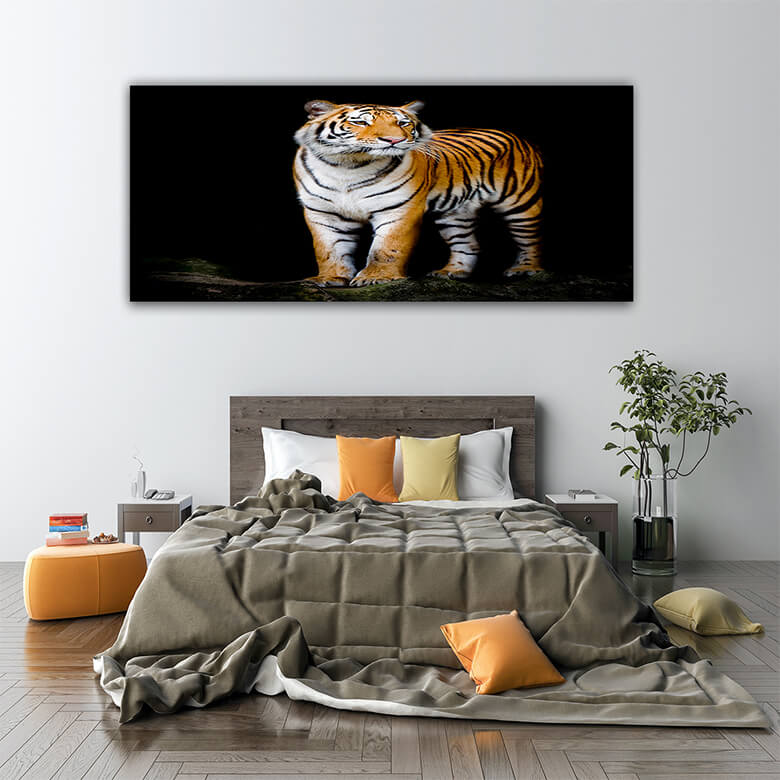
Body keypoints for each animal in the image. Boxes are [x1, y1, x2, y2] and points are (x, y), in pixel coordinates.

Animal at [292, 100, 543, 287]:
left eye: (403, 123)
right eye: (361, 122)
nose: (395, 140)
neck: (347, 166)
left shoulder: (398, 209)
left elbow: (386, 248)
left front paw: (376, 278)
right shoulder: (322, 213)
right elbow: (328, 249)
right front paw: (330, 277)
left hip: (520, 205)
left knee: (530, 240)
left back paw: (525, 269)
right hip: (455, 215)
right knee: (468, 244)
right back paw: (452, 271)